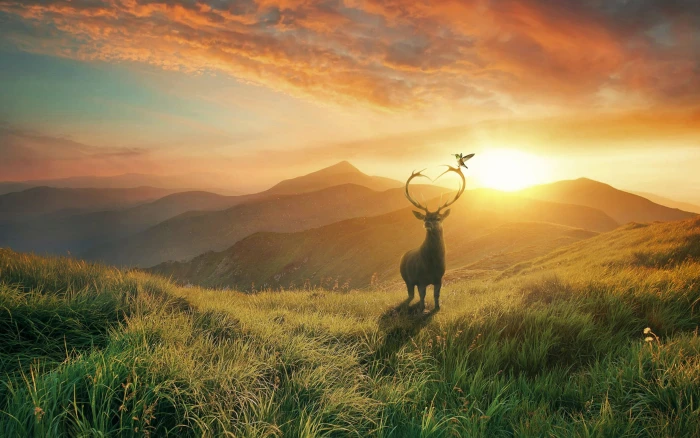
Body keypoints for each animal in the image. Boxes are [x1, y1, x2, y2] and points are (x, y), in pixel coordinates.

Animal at [400, 166, 465, 311]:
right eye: (425, 218)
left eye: (438, 218)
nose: (427, 223)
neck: (431, 265)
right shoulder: (421, 279)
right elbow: (422, 296)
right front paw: (421, 309)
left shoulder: (439, 278)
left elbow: (436, 295)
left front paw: (437, 307)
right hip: (406, 278)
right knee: (410, 294)